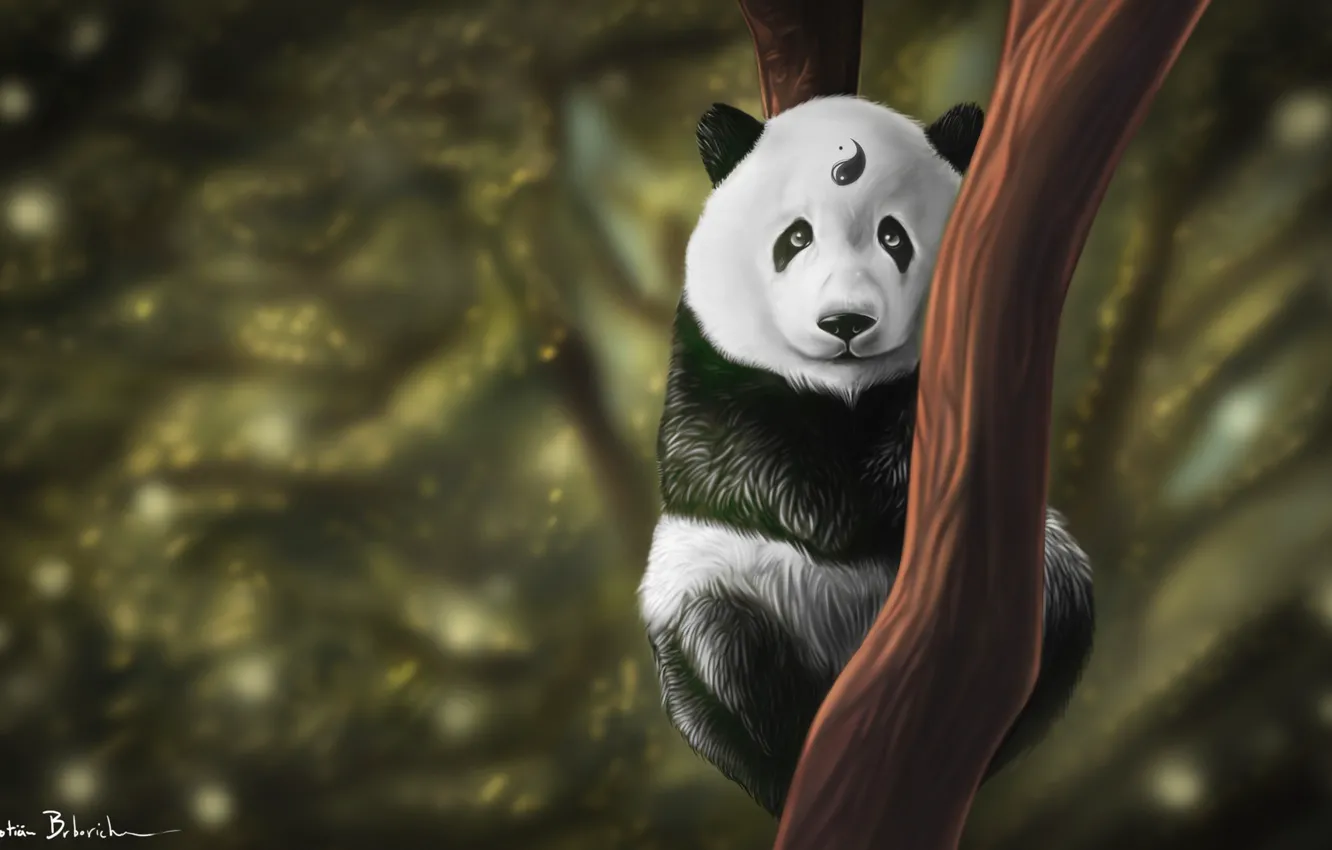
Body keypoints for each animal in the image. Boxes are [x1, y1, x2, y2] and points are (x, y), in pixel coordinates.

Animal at [637, 95, 1095, 818]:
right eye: (796, 238)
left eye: (893, 236)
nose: (846, 323)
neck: (845, 390)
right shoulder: (706, 358)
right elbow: (712, 456)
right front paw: (846, 502)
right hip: (706, 589)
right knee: (722, 651)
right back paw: (792, 754)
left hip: (1042, 575)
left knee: (1066, 612)